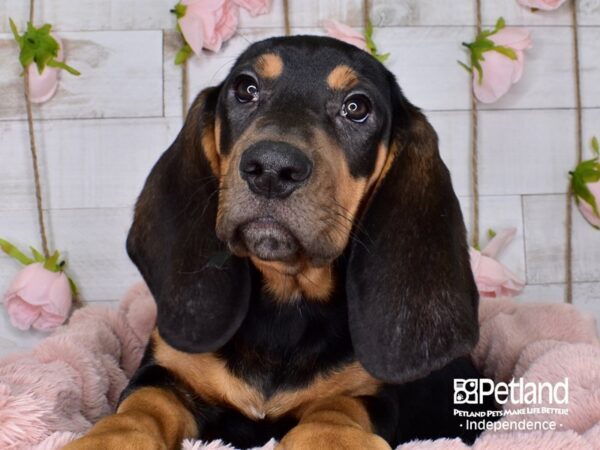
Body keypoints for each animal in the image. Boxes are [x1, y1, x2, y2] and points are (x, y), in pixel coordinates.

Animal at [67, 37, 496, 448]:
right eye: (246, 88)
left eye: (357, 107)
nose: (272, 169)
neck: (286, 301)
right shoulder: (165, 371)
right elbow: (144, 403)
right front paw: (109, 438)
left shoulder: (373, 392)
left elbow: (341, 404)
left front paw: (328, 439)